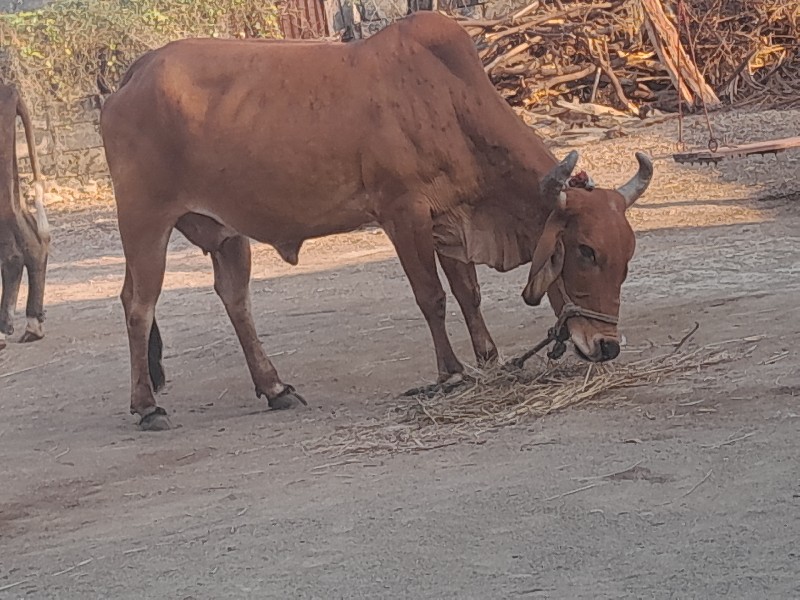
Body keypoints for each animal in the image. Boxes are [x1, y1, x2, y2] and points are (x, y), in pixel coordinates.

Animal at [101, 11, 648, 428]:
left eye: (627, 258)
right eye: (585, 251)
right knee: (137, 304)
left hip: (225, 232)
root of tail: (135, 73)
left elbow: (467, 292)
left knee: (235, 298)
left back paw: (275, 387)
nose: (606, 347)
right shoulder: (402, 211)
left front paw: (490, 359)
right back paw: (147, 406)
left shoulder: (450, 218)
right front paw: (451, 373)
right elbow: (432, 297)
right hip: (144, 220)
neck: (447, 97)